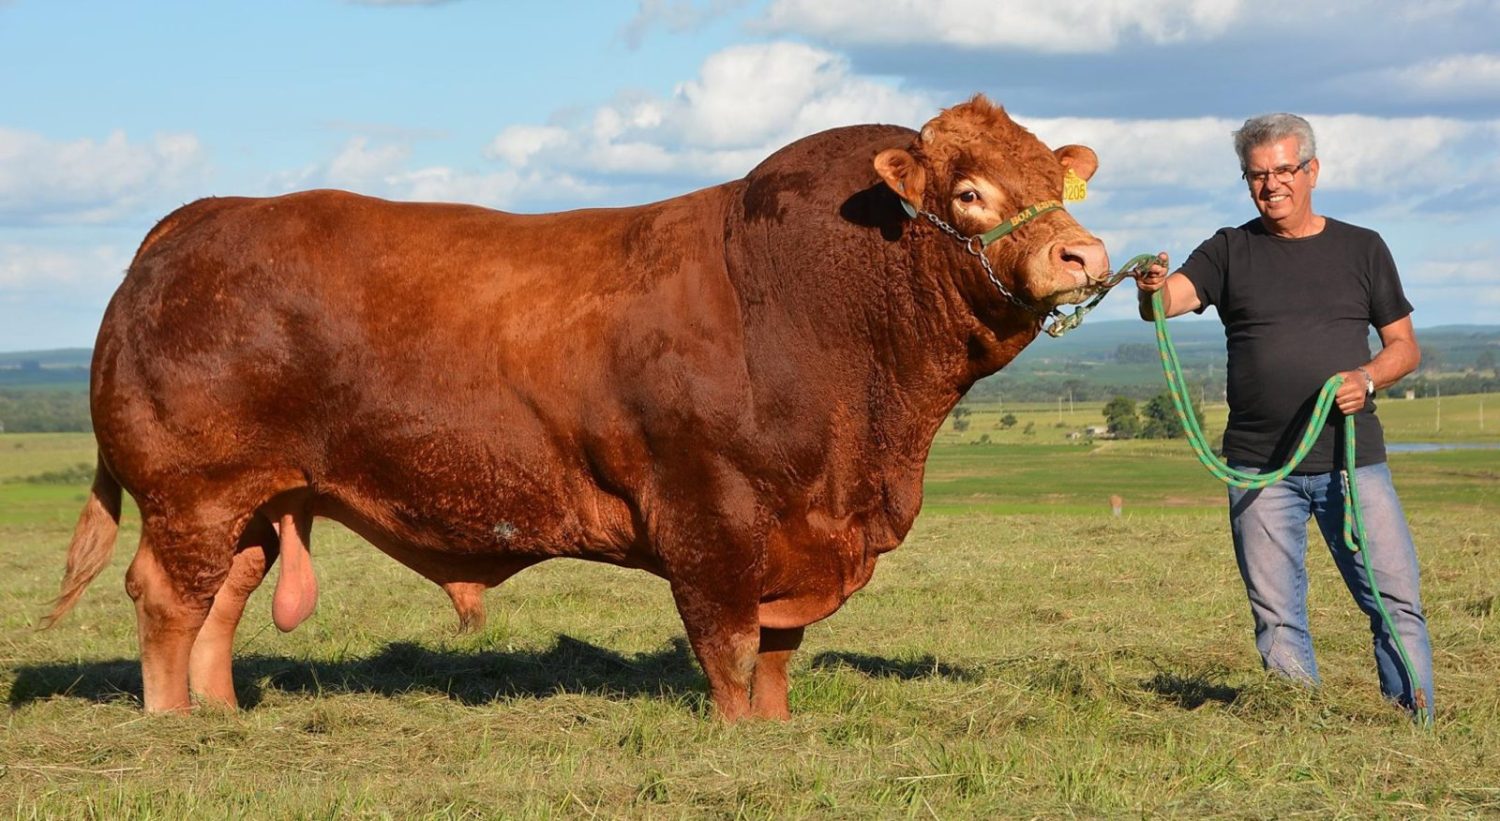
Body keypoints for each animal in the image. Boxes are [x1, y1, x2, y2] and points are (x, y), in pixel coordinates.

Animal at [46, 96, 1110, 720]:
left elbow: (776, 651)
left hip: (258, 499)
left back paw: (221, 714)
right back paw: (172, 726)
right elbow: (729, 646)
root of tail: (190, 223)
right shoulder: (713, 518)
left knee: (221, 597)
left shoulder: (800, 528)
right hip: (193, 492)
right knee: (166, 596)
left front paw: (775, 732)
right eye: (969, 192)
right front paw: (738, 738)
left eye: (1054, 181)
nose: (1085, 255)